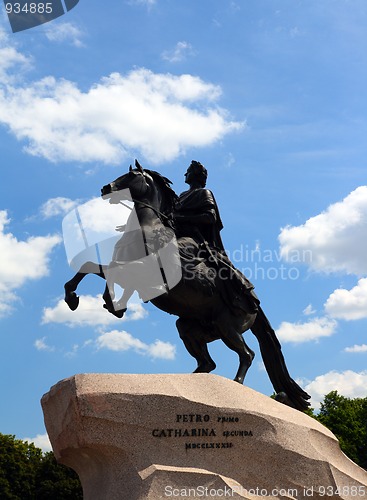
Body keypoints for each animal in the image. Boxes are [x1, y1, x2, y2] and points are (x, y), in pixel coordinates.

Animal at [64, 162, 310, 412]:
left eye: (131, 175)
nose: (106, 188)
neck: (149, 228)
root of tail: (256, 306)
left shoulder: (145, 272)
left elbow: (102, 270)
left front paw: (90, 299)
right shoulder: (128, 269)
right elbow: (93, 267)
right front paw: (86, 299)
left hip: (227, 327)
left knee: (247, 355)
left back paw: (236, 383)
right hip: (191, 327)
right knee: (208, 363)